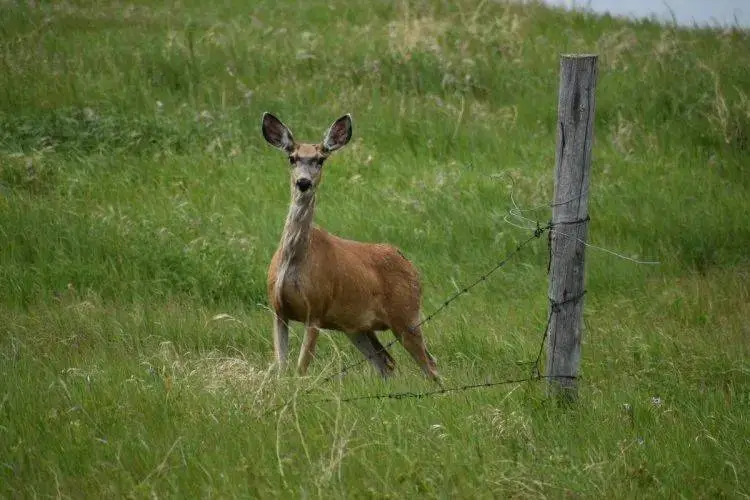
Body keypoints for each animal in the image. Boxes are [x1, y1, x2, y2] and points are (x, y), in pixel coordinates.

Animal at [262, 111, 440, 380]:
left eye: (320, 159)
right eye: (292, 158)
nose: (303, 182)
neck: (294, 261)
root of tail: (410, 265)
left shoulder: (317, 309)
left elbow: (301, 369)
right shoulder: (278, 310)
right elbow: (282, 367)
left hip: (406, 313)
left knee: (430, 364)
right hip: (356, 327)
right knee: (386, 362)